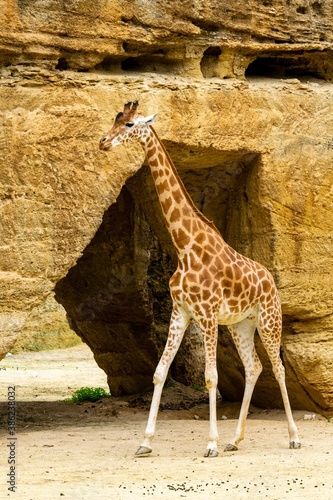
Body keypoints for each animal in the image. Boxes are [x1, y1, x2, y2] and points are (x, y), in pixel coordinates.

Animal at [98, 99, 300, 456]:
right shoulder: (182, 311)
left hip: (268, 319)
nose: (103, 143)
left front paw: (211, 443)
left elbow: (210, 377)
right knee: (254, 367)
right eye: (115, 120)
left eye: (130, 124)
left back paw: (292, 437)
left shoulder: (205, 313)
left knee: (277, 368)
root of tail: (271, 280)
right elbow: (159, 372)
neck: (184, 245)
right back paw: (236, 439)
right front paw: (145, 442)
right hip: (240, 325)